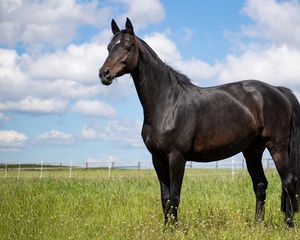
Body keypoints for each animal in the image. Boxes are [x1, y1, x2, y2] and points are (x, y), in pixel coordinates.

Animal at [99, 18, 300, 227]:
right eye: (109, 48)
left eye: (127, 47)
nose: (104, 74)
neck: (168, 103)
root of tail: (278, 90)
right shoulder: (158, 159)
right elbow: (165, 198)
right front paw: (166, 229)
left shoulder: (176, 157)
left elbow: (174, 197)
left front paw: (174, 229)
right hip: (253, 150)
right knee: (260, 184)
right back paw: (257, 225)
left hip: (277, 147)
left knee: (288, 182)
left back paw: (288, 224)